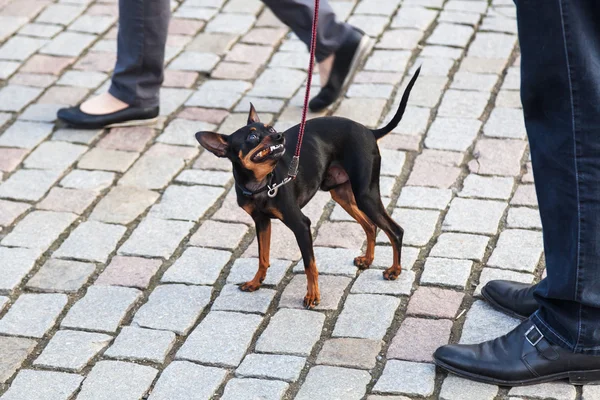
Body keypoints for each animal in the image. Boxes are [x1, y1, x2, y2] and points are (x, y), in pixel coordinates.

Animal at [198, 68, 422, 310]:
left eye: (271, 128)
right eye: (252, 136)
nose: (279, 135)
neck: (262, 184)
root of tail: (370, 132)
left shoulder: (301, 225)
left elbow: (309, 265)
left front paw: (313, 296)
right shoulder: (261, 222)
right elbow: (263, 257)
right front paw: (255, 282)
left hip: (365, 196)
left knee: (395, 230)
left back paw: (394, 271)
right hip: (342, 194)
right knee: (371, 225)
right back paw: (367, 260)